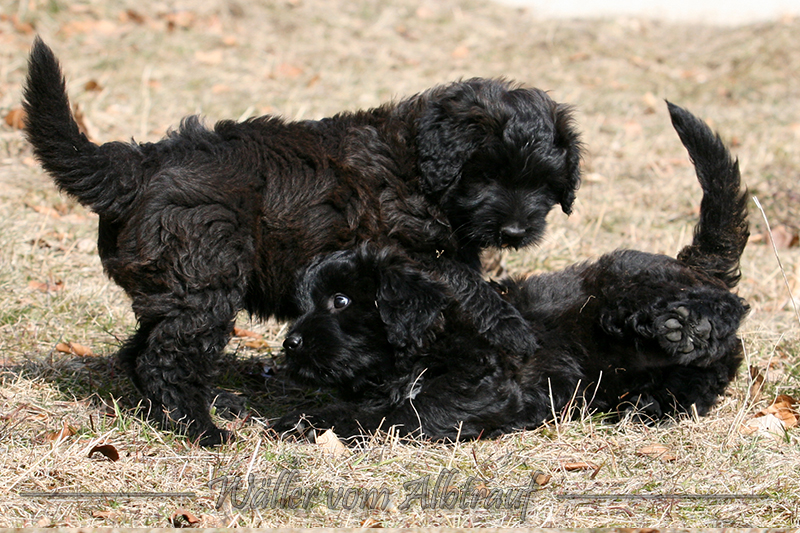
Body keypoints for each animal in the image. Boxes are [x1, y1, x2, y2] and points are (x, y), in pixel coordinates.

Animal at [22, 38, 582, 445]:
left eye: (544, 184)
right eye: (485, 175)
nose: (516, 232)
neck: (420, 167)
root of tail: (139, 165)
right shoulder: (402, 246)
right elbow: (464, 281)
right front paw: (514, 330)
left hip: (174, 287)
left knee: (142, 349)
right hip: (203, 281)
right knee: (165, 358)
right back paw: (203, 430)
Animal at [276, 102, 749, 441]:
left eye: (340, 301)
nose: (290, 344)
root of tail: (692, 265)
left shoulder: (483, 382)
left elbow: (406, 410)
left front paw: (326, 421)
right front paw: (306, 415)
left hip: (622, 284)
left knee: (727, 309)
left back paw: (682, 326)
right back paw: (653, 393)